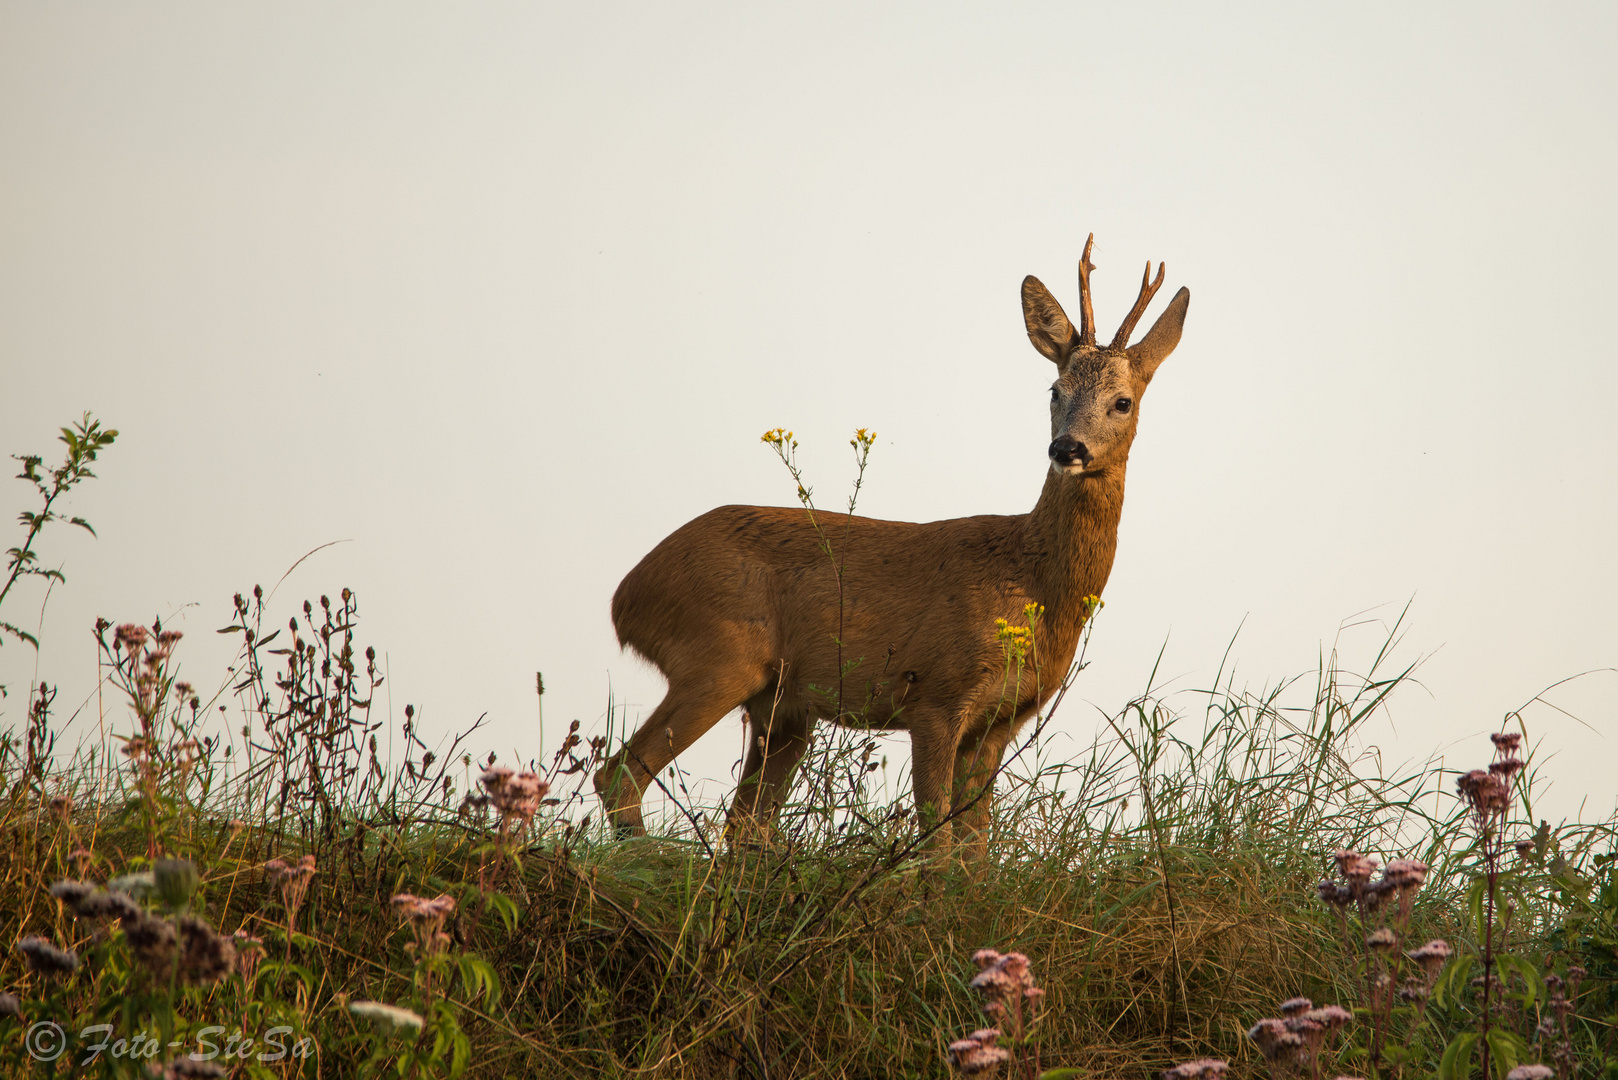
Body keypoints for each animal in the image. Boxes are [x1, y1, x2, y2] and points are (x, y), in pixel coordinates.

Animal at [595, 238, 1190, 854]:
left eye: (1122, 401)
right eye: (1055, 390)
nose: (1067, 448)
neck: (1031, 583)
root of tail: (625, 596)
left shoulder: (1002, 720)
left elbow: (974, 852)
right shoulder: (934, 694)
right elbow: (937, 847)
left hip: (783, 708)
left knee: (744, 824)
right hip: (715, 657)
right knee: (619, 772)